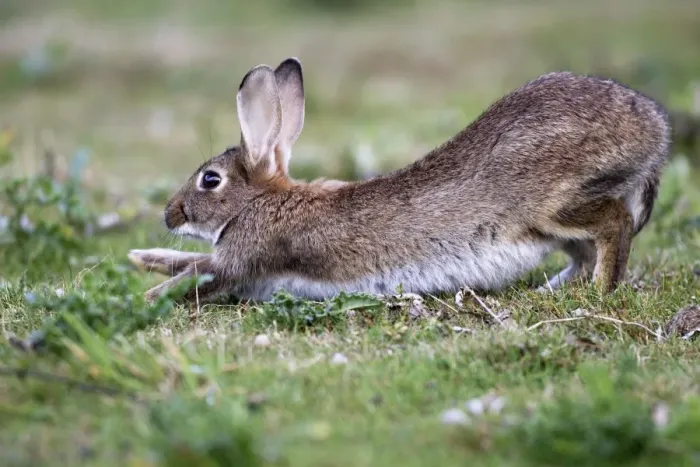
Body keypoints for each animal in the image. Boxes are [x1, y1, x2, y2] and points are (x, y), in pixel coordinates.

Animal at [128, 57, 670, 304]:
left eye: (210, 180)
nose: (169, 214)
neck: (261, 202)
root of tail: (655, 130)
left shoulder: (245, 259)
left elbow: (199, 275)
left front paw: (142, 301)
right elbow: (187, 262)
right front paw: (142, 258)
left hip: (554, 201)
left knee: (613, 225)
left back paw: (600, 292)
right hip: (554, 226)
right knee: (582, 251)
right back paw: (548, 291)